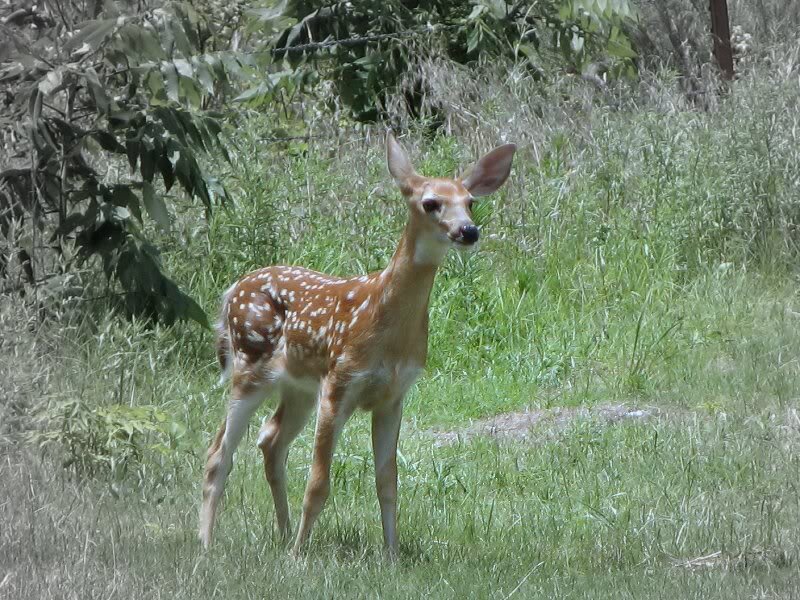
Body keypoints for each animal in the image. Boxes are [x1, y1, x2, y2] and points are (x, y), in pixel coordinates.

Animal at [200, 132, 516, 556]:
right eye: (430, 203)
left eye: (470, 202)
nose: (468, 231)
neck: (387, 328)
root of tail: (231, 290)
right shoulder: (340, 382)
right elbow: (318, 484)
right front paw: (299, 557)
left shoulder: (393, 395)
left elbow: (388, 484)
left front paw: (392, 555)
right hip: (249, 364)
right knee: (219, 453)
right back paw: (207, 542)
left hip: (299, 388)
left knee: (270, 440)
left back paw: (282, 533)